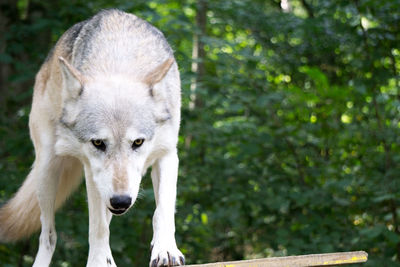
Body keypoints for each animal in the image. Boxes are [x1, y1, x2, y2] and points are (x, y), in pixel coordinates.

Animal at [0, 8, 184, 267]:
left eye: (138, 142)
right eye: (98, 143)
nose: (121, 201)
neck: (120, 59)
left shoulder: (167, 154)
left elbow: (163, 211)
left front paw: (165, 250)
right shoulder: (91, 170)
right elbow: (97, 227)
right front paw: (98, 261)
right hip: (48, 169)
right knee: (48, 236)